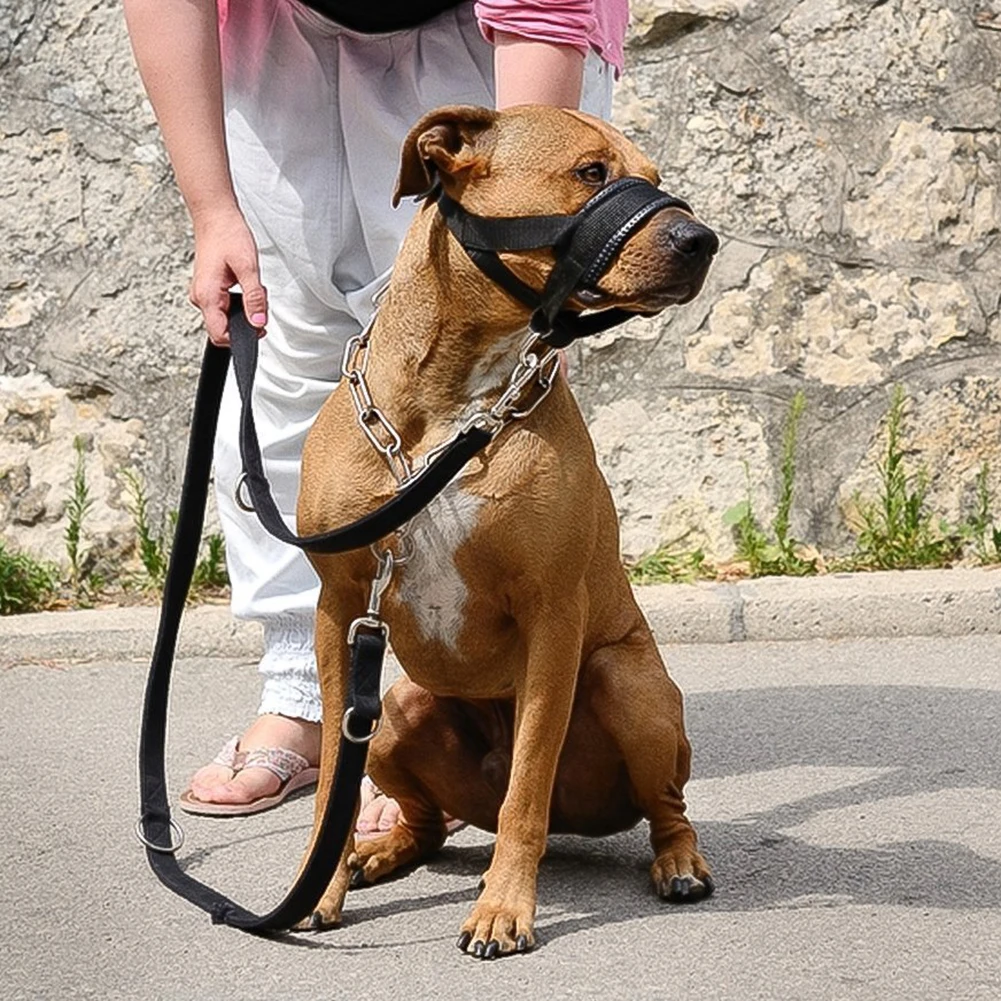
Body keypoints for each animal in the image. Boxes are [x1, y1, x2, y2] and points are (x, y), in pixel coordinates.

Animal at [296, 105, 720, 956]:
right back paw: (380, 851)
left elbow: (528, 780)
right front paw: (318, 881)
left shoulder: (551, 615)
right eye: (591, 172)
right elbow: (331, 780)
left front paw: (502, 908)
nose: (702, 239)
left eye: (652, 179)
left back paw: (677, 862)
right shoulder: (339, 609)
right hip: (393, 713)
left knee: (659, 806)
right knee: (428, 821)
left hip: (627, 685)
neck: (454, 402)